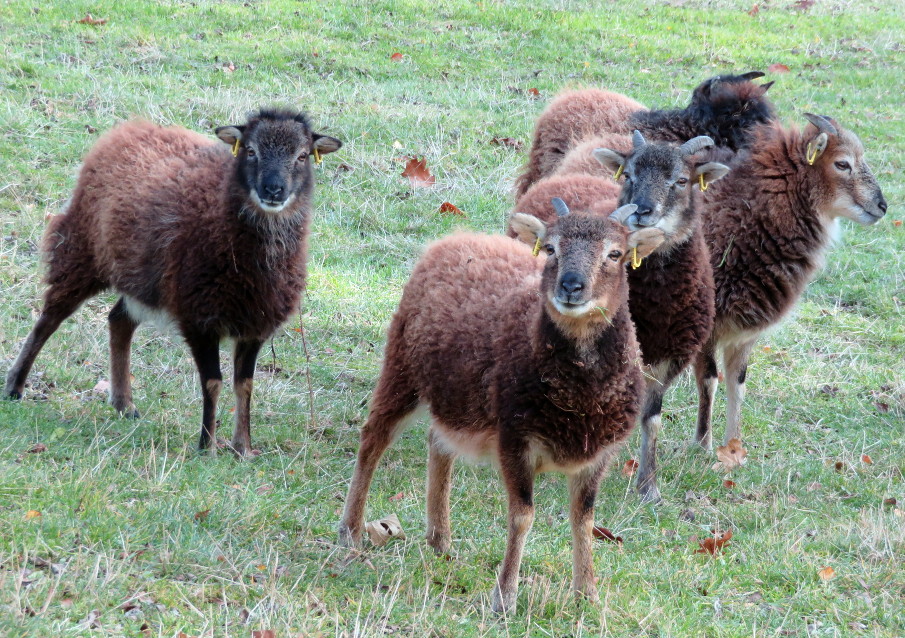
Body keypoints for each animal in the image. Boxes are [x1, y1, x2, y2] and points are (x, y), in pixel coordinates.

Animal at [3, 111, 340, 460]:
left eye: (302, 156)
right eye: (250, 151)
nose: (273, 190)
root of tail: (131, 127)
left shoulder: (255, 326)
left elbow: (244, 385)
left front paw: (243, 448)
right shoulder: (199, 319)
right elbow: (213, 382)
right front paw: (207, 446)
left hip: (141, 277)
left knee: (118, 320)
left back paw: (124, 404)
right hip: (81, 249)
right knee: (49, 318)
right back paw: (15, 386)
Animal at [340, 199, 664, 616]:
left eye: (616, 253)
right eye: (550, 248)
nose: (571, 286)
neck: (578, 402)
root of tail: (454, 239)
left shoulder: (600, 454)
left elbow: (584, 518)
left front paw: (587, 595)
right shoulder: (515, 438)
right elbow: (522, 516)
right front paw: (504, 598)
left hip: (456, 396)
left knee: (437, 442)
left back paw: (440, 540)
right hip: (402, 368)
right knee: (373, 438)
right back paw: (350, 531)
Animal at [512, 132, 732, 502]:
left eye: (681, 180)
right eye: (628, 175)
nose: (643, 211)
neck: (658, 303)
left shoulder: (668, 358)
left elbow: (652, 419)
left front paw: (648, 487)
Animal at [696, 115, 888, 452]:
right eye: (842, 163)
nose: (882, 206)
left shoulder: (744, 333)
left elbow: (737, 383)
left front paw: (733, 448)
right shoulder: (707, 323)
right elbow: (709, 380)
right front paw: (702, 447)